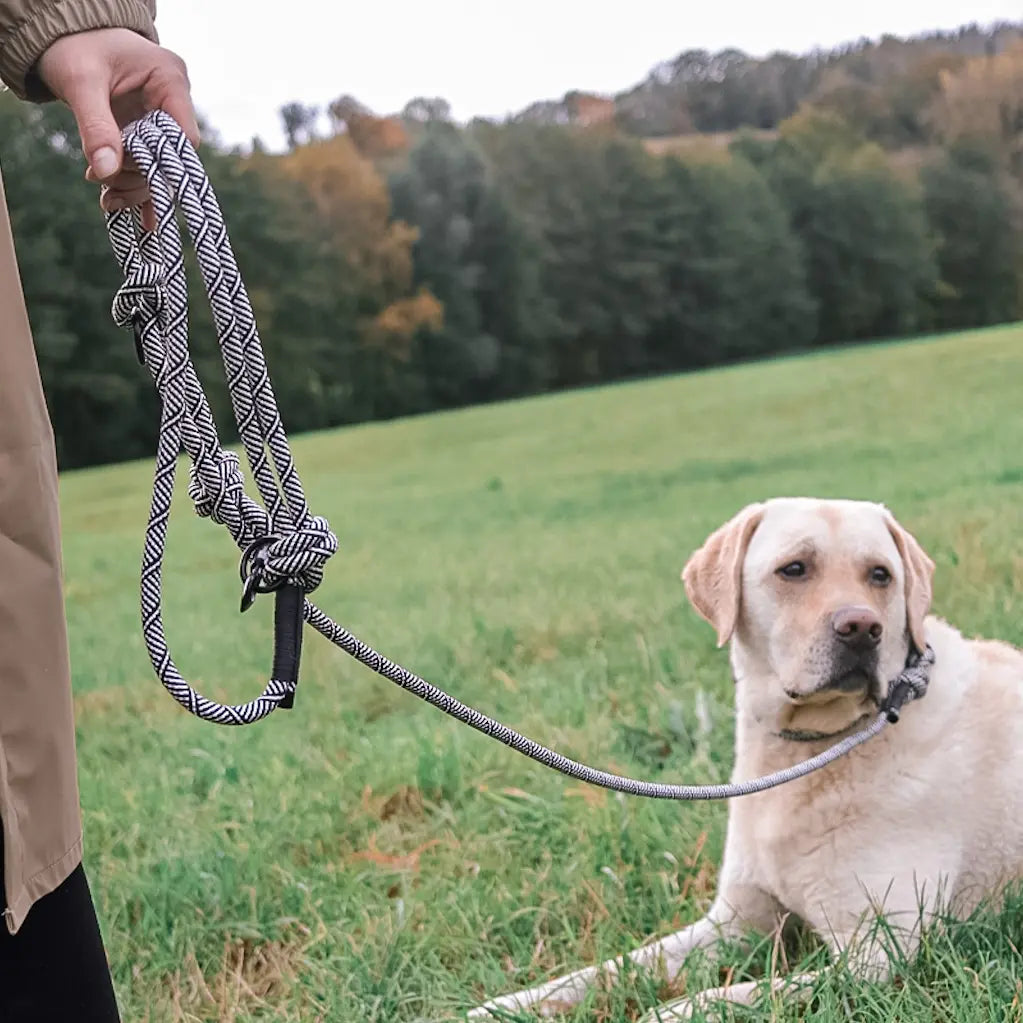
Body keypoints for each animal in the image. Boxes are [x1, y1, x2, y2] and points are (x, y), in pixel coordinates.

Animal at [468, 495, 1023, 1014]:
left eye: (881, 575)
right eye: (794, 569)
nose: (863, 628)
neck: (808, 750)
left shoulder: (874, 957)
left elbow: (726, 998)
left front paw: (664, 1012)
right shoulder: (734, 922)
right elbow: (608, 970)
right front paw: (506, 1005)